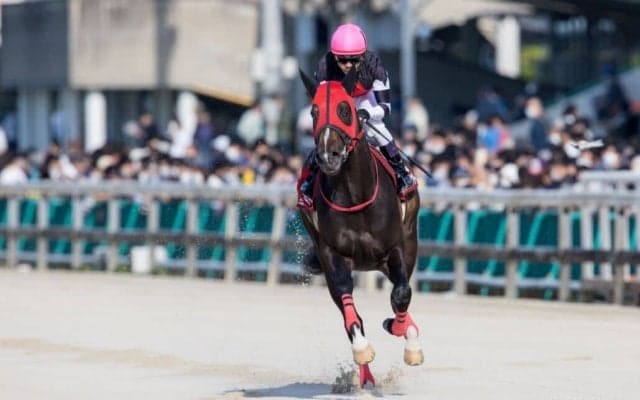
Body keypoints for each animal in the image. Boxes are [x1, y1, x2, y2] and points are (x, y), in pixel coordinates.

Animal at [297, 69, 424, 388]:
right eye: (314, 111)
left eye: (345, 110)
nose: (328, 156)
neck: (355, 194)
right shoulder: (332, 253)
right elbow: (348, 306)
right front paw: (362, 350)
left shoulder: (396, 249)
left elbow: (401, 294)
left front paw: (404, 335)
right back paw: (366, 378)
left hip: (406, 244)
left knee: (402, 292)